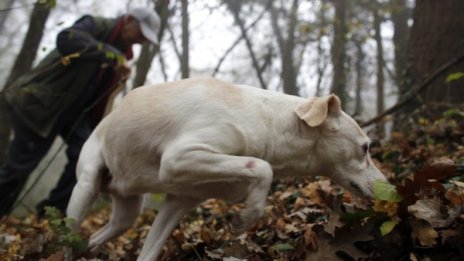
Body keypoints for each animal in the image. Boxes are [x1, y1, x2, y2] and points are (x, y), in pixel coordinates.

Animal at [65, 76, 384, 258]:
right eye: (365, 148)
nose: (389, 186)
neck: (269, 122)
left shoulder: (180, 201)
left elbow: (149, 253)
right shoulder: (179, 158)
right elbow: (262, 167)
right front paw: (249, 214)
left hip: (127, 214)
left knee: (92, 238)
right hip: (86, 187)